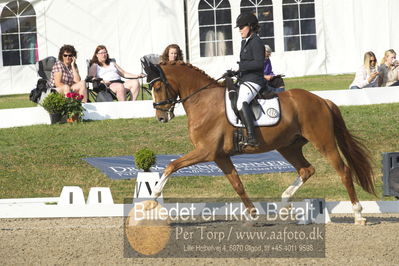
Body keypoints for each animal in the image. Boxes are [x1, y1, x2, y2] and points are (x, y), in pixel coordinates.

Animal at [143, 60, 376, 224]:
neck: (203, 101)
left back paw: (358, 215)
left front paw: (151, 199)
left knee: (343, 171)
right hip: (288, 147)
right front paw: (253, 213)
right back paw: (285, 204)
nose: (161, 117)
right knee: (306, 170)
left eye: (157, 87)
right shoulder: (220, 156)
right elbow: (237, 184)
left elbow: (172, 165)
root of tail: (322, 100)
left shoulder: (205, 151)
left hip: (323, 142)